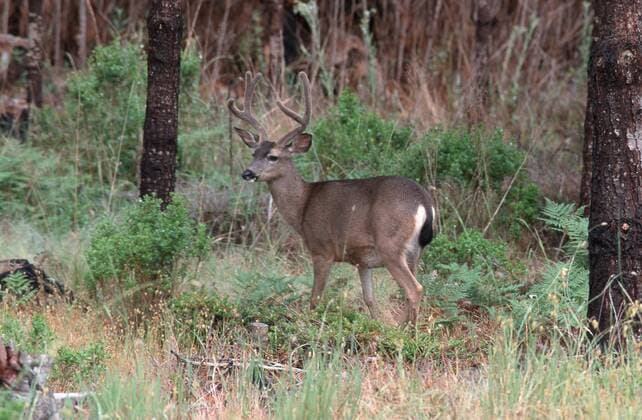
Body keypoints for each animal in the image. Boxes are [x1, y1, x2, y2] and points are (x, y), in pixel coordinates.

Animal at [228, 72, 438, 324]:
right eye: (253, 153)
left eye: (273, 157)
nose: (247, 173)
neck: (303, 206)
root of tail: (424, 201)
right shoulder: (362, 261)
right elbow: (370, 300)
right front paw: (379, 326)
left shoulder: (321, 249)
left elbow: (314, 299)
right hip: (415, 251)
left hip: (391, 245)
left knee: (414, 289)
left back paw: (406, 329)